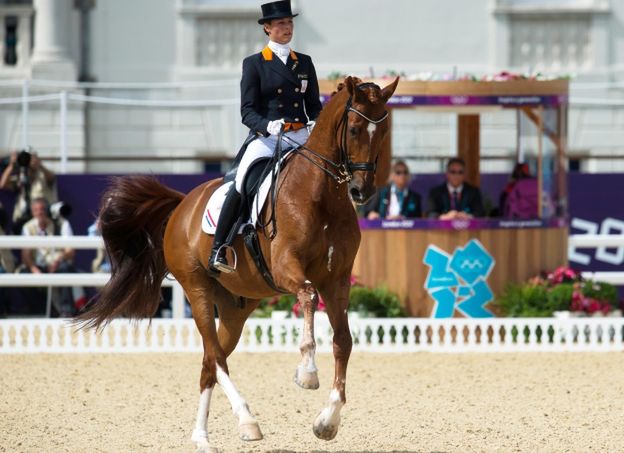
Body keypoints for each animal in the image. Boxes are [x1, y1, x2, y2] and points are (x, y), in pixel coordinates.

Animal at [79, 76, 400, 450]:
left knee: (209, 361)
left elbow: (344, 341)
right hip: (198, 291)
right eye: (354, 128)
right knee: (216, 357)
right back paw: (248, 421)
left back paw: (203, 437)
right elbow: (307, 297)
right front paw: (306, 373)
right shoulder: (287, 268)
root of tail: (182, 205)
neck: (321, 196)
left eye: (384, 130)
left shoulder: (337, 281)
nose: (363, 191)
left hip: (235, 308)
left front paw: (328, 420)